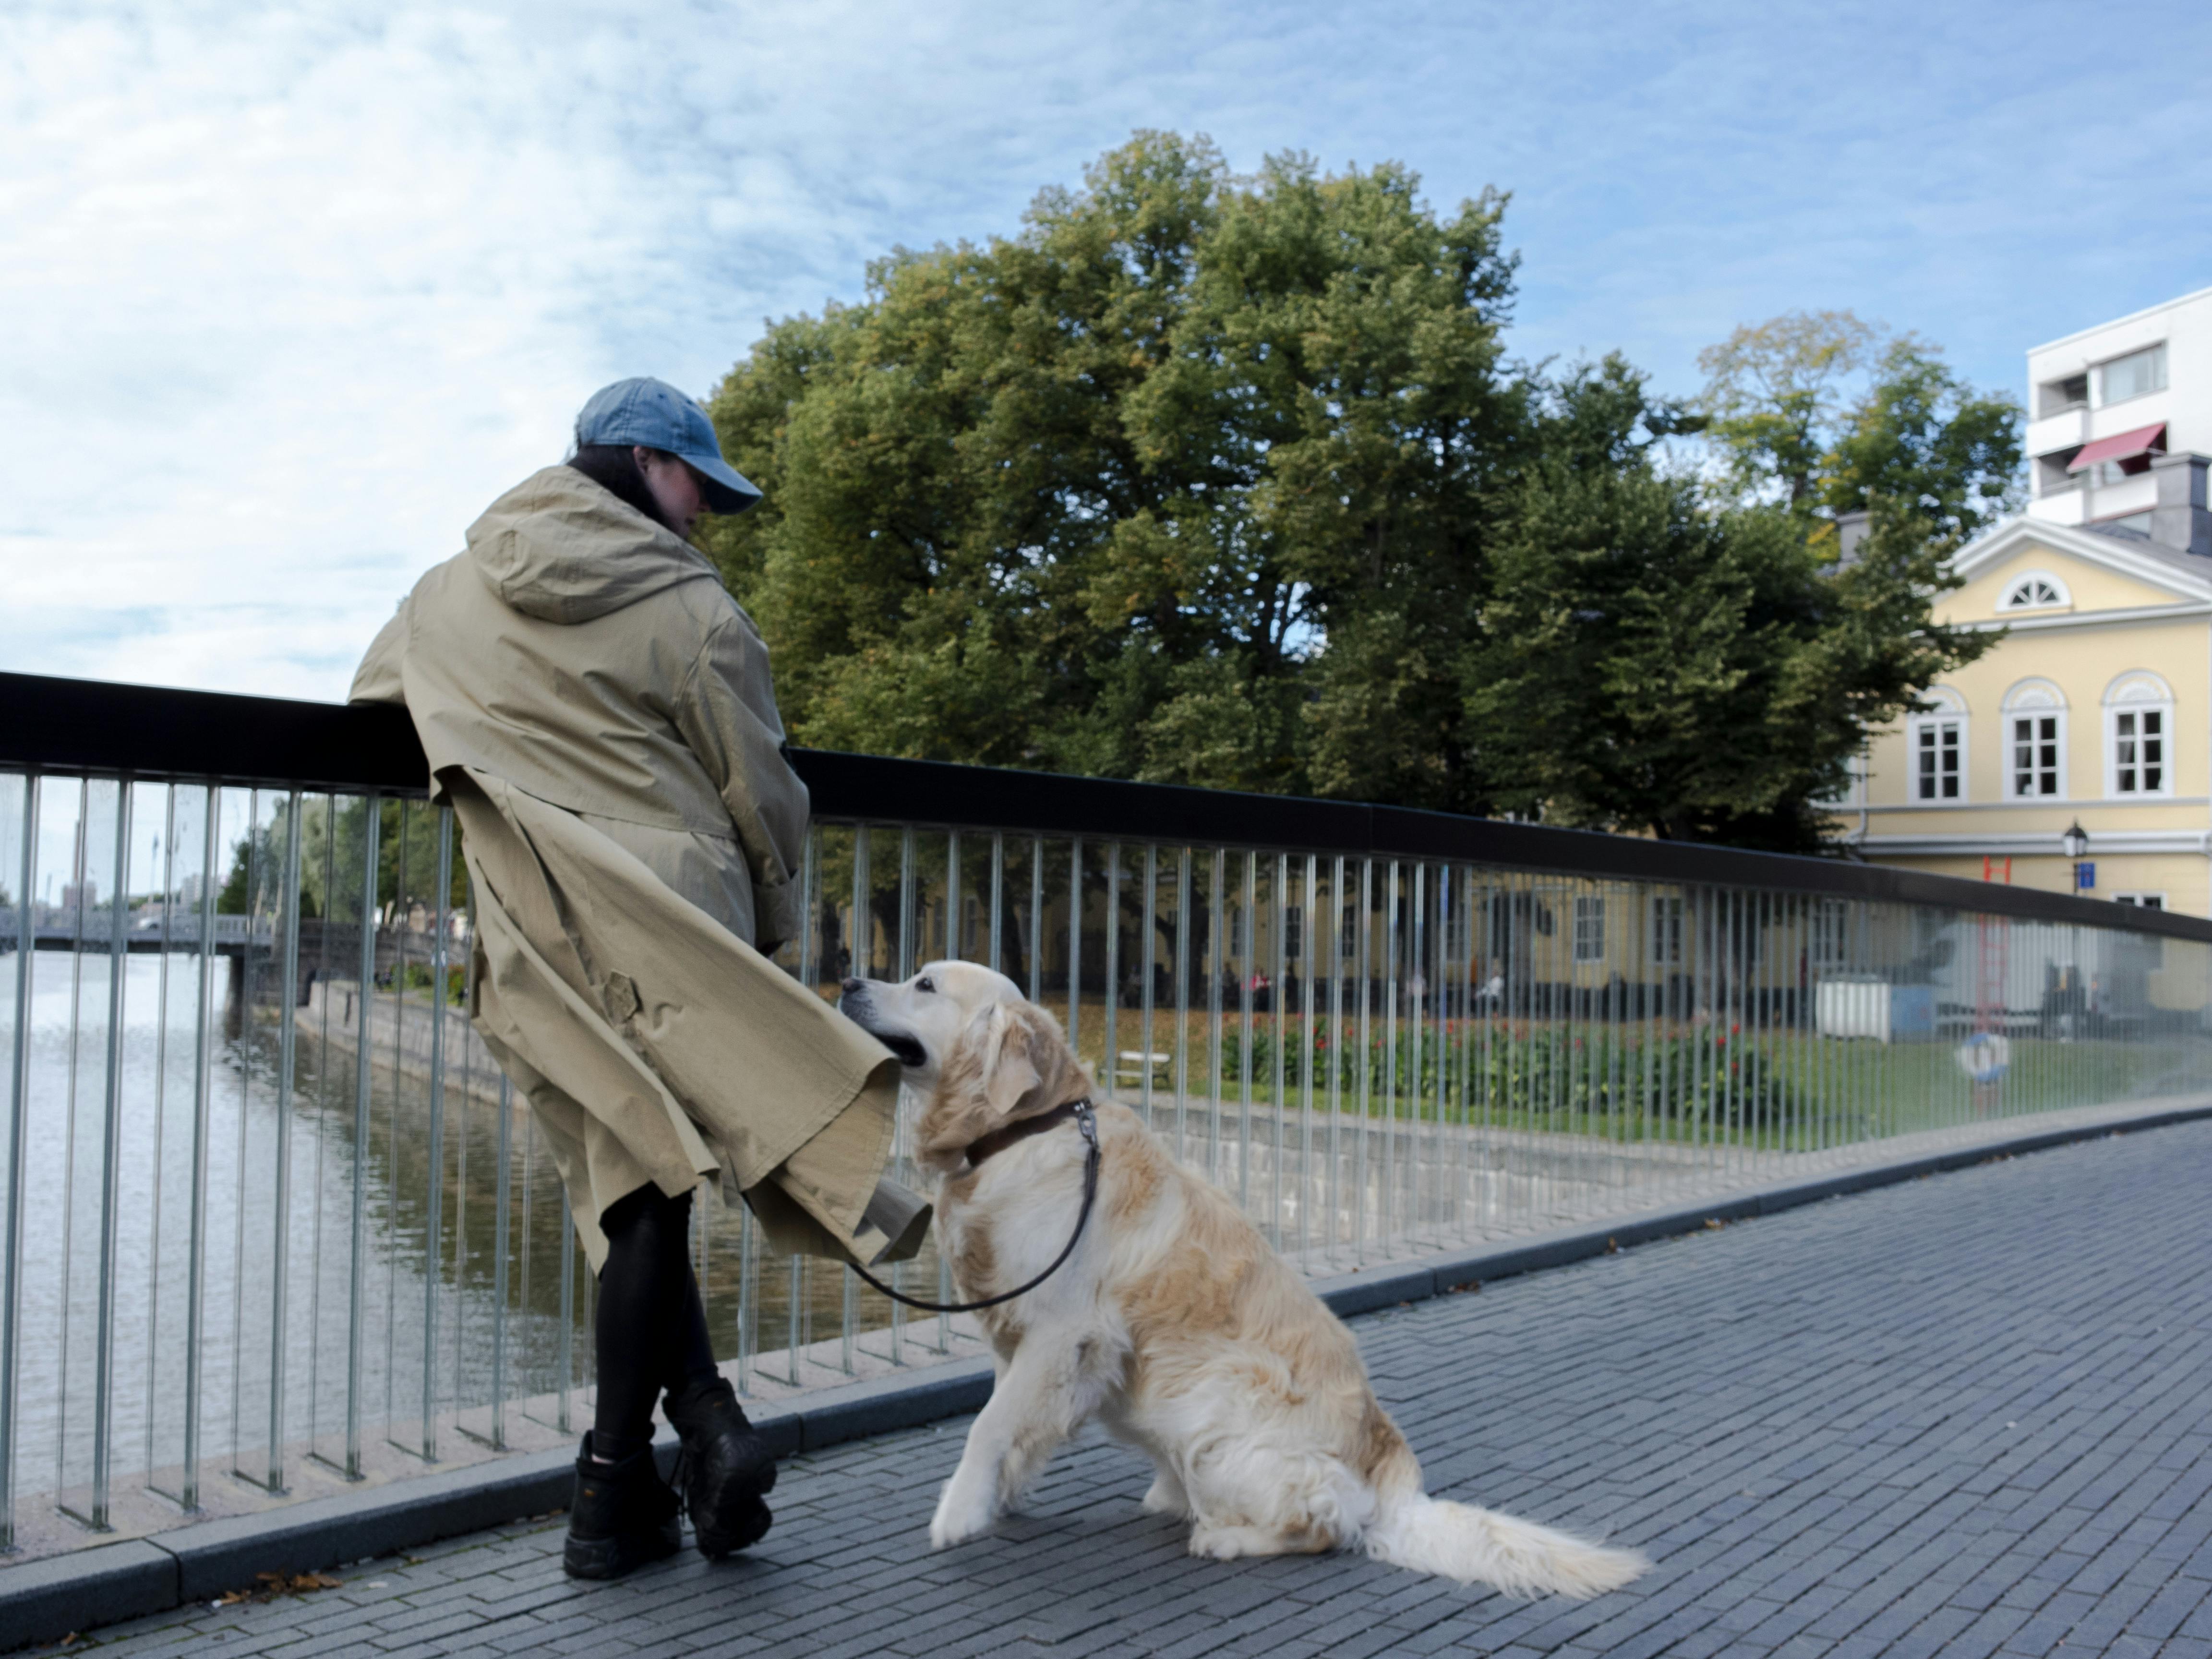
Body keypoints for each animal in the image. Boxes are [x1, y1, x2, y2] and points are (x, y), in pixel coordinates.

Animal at [836, 969, 1654, 1601]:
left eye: (924, 985)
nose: (846, 981)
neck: (1019, 1133)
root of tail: (1393, 1484)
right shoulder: (1025, 1343)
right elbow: (1014, 1423)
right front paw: (998, 1497)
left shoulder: (1063, 1331)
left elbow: (988, 1424)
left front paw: (958, 1515)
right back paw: (1173, 1500)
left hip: (1206, 1400)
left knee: (1322, 1523)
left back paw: (1224, 1536)